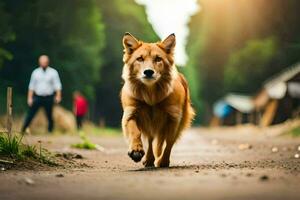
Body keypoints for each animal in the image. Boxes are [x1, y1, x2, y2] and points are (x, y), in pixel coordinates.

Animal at [121, 32, 195, 167]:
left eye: (158, 59)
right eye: (140, 59)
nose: (148, 72)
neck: (151, 94)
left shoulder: (174, 118)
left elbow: (169, 142)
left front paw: (164, 161)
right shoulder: (130, 113)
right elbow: (135, 131)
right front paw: (136, 150)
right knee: (150, 140)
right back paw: (149, 159)